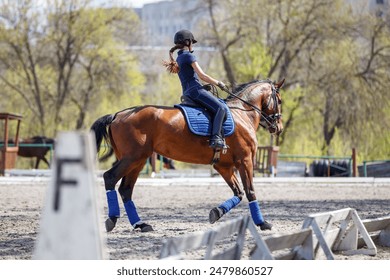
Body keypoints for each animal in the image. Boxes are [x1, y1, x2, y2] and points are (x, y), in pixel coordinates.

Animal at [90, 78, 284, 232]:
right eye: (280, 100)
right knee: (110, 178)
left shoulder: (224, 166)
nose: (279, 128)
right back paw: (112, 219)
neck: (241, 114)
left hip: (138, 161)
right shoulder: (245, 161)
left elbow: (239, 193)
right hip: (132, 158)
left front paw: (216, 212)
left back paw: (140, 224)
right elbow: (250, 191)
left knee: (126, 189)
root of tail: (117, 115)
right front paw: (262, 223)